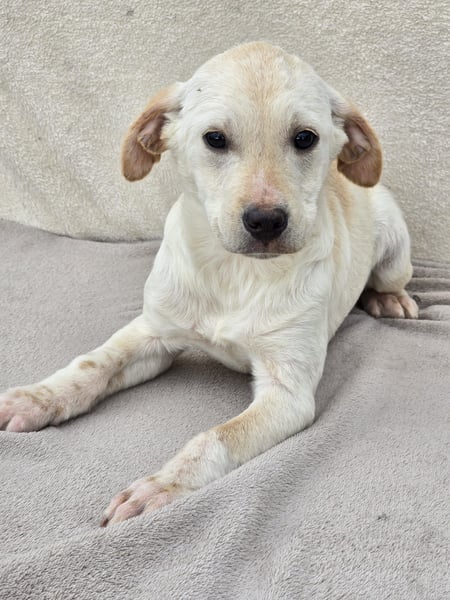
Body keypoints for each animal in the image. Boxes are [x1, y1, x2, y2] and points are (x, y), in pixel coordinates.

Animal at [0, 42, 418, 526]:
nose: (266, 221)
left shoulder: (288, 393)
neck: (235, 272)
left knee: (388, 278)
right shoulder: (153, 332)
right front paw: (35, 399)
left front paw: (160, 486)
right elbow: (91, 365)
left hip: (394, 247)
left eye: (305, 138)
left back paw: (389, 299)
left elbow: (215, 438)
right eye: (214, 139)